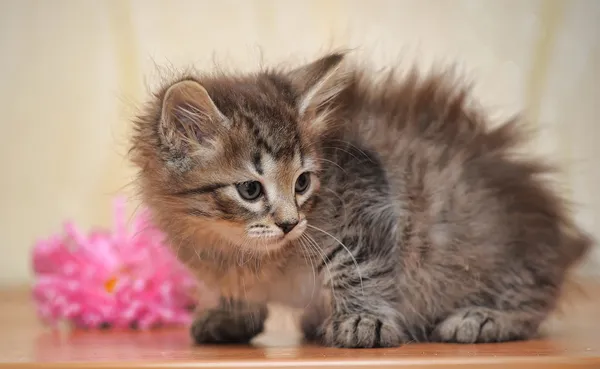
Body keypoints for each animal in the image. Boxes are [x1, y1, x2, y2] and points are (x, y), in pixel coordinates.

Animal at [129, 52, 592, 348]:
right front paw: (231, 316)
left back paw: (483, 318)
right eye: (251, 190)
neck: (236, 249)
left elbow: (361, 270)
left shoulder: (366, 197)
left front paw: (363, 320)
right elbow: (234, 290)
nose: (290, 223)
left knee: (533, 301)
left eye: (302, 183)